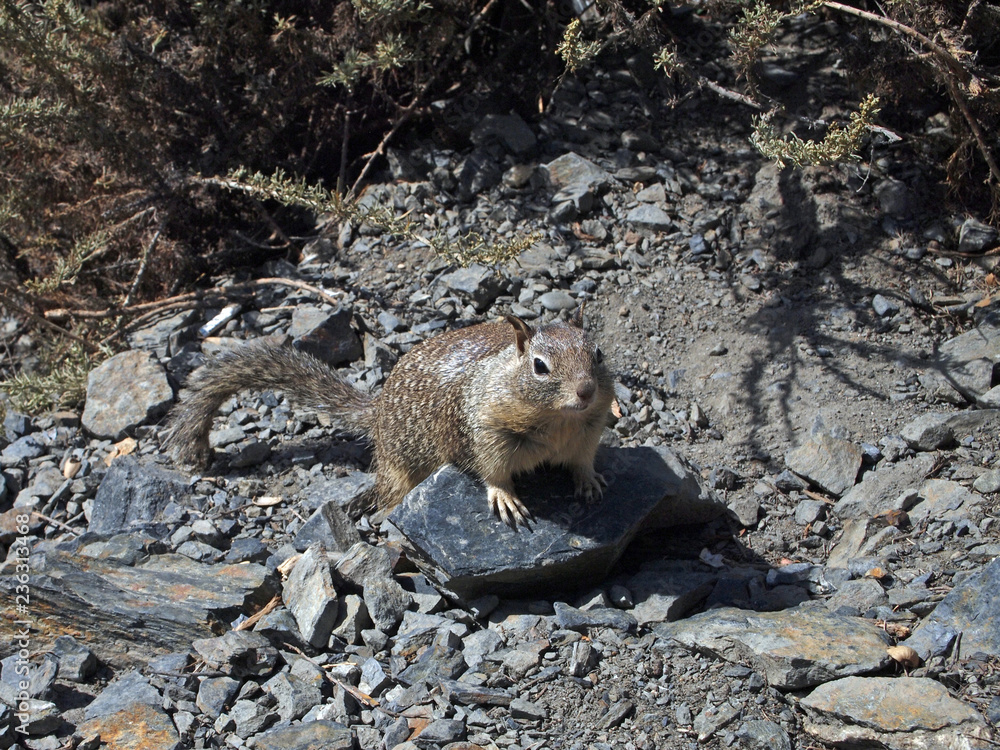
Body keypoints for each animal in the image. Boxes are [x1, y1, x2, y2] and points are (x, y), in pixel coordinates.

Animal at [163, 309, 614, 527]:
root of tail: (377, 410)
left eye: (598, 353)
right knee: (388, 494)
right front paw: (505, 497)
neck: (559, 421)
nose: (586, 391)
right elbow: (492, 471)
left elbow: (582, 461)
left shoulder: (589, 433)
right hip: (400, 468)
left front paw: (590, 480)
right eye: (539, 366)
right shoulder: (486, 432)